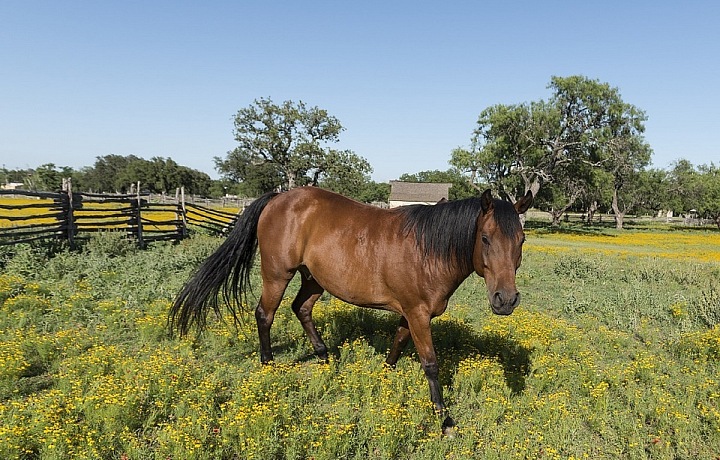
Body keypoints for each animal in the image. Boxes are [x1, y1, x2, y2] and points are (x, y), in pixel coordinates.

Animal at [170, 186, 533, 434]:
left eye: (522, 240)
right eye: (485, 238)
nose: (505, 299)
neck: (427, 249)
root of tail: (277, 198)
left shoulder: (411, 313)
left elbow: (397, 344)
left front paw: (384, 375)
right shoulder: (417, 313)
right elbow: (430, 364)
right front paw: (444, 418)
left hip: (313, 278)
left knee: (301, 309)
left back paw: (325, 358)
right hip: (277, 274)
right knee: (265, 315)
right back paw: (269, 364)